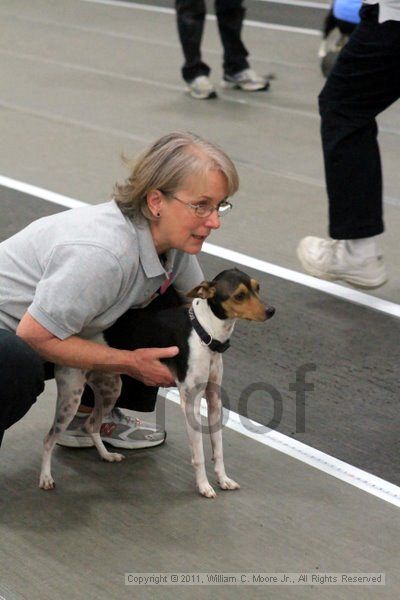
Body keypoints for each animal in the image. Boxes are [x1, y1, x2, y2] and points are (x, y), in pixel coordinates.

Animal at [39, 268, 276, 496]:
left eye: (257, 287)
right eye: (239, 295)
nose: (271, 310)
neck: (204, 331)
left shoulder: (214, 401)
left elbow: (218, 449)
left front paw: (223, 479)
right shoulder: (191, 403)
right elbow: (199, 453)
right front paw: (203, 486)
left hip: (110, 389)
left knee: (91, 425)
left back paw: (107, 455)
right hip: (71, 397)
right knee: (49, 439)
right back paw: (46, 478)